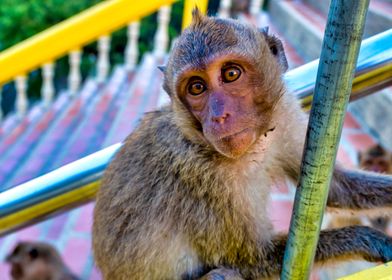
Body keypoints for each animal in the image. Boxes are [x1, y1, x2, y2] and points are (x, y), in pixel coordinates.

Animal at [92, 9, 392, 278]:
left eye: (231, 74)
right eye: (197, 87)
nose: (219, 116)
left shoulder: (284, 115)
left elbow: (336, 189)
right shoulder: (205, 180)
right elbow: (253, 258)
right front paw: (367, 238)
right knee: (224, 274)